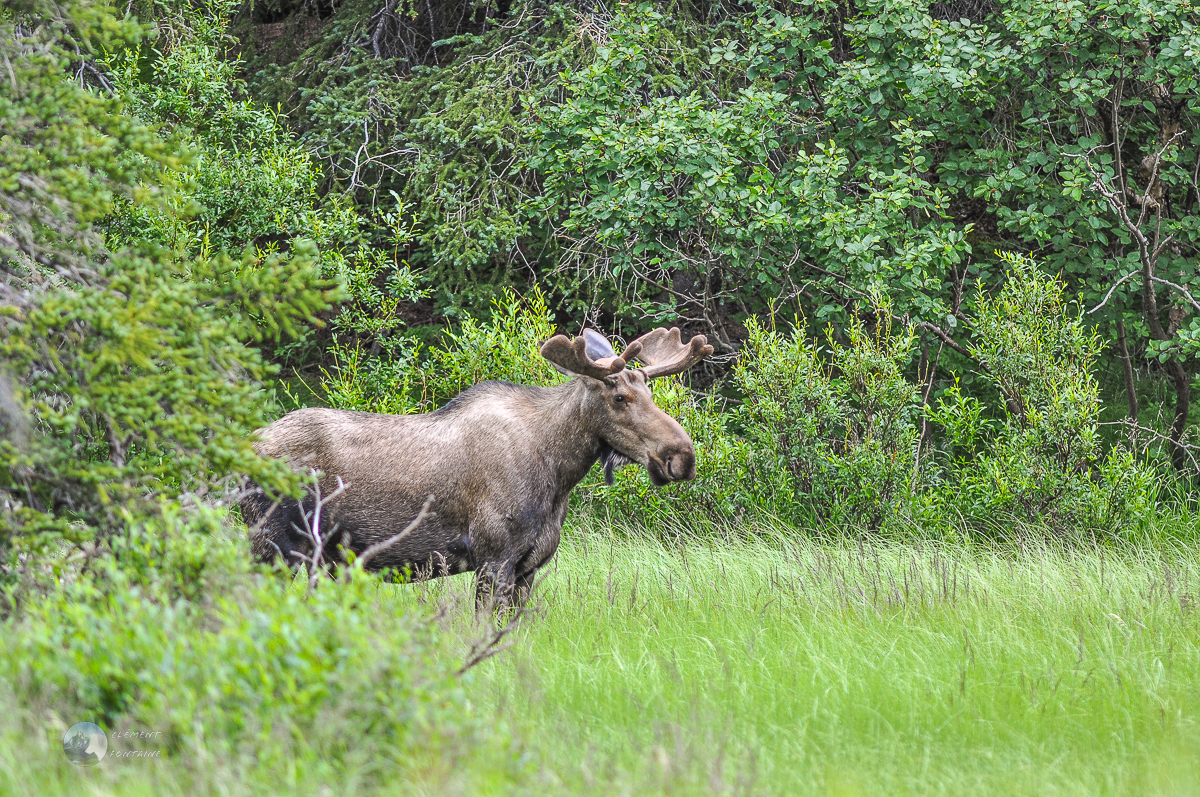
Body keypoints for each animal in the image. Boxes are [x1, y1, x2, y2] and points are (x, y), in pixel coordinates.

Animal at [243, 326, 710, 607]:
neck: (558, 476)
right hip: (272, 545)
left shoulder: (528, 568)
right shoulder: (493, 558)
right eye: (619, 398)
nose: (681, 456)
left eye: (649, 392)